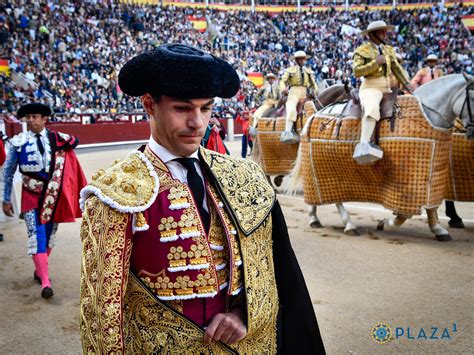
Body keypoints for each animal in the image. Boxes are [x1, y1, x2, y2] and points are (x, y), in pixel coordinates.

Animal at [288, 74, 474, 243]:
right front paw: (384, 223)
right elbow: (403, 215)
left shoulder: (432, 174)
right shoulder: (407, 182)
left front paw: (439, 229)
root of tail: (314, 115)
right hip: (327, 165)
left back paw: (315, 218)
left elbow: (431, 208)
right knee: (336, 199)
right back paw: (348, 225)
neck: (428, 114)